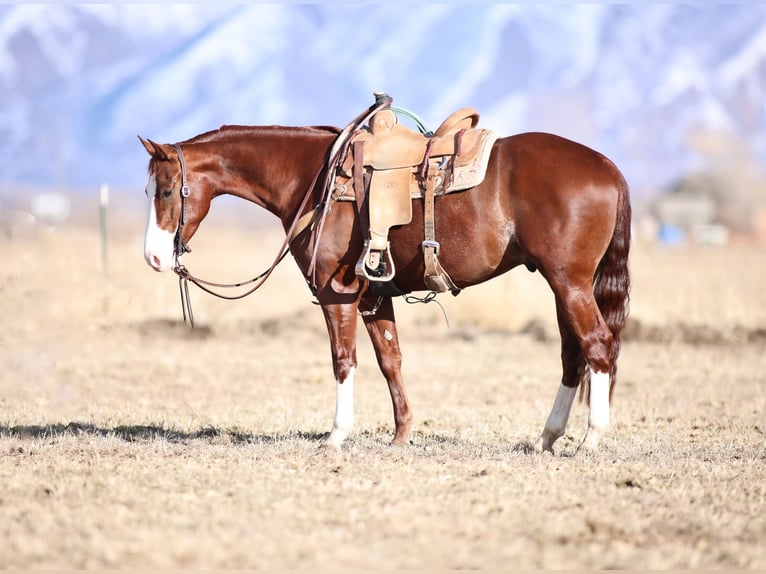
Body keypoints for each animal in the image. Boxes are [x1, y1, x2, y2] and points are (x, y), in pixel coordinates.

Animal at [138, 101, 632, 456]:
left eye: (166, 190)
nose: (154, 256)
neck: (315, 180)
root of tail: (608, 167)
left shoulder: (336, 293)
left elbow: (343, 360)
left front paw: (336, 435)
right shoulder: (376, 295)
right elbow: (390, 360)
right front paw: (400, 434)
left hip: (568, 283)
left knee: (597, 346)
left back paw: (591, 438)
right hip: (565, 286)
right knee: (572, 356)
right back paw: (547, 437)